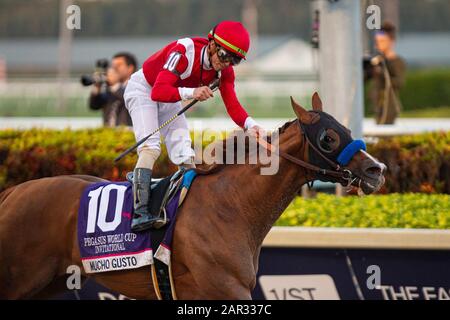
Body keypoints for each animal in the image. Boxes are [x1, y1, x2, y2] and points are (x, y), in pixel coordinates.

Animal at [0, 94, 386, 298]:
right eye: (328, 139)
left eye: (347, 129)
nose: (376, 170)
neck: (231, 206)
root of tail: (13, 192)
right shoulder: (225, 288)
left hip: (49, 282)